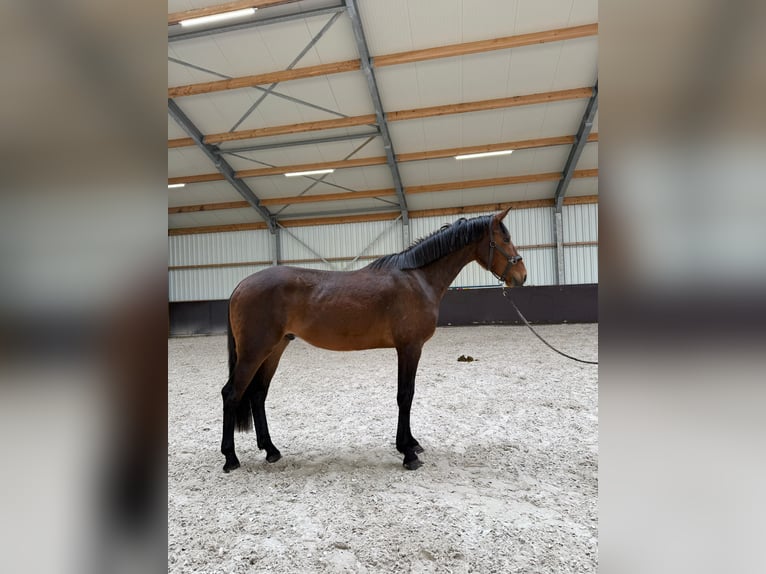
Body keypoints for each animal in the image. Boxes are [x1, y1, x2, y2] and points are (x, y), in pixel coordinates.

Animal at [220, 207, 527, 472]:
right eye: (505, 239)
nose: (521, 276)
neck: (418, 278)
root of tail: (241, 285)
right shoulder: (409, 347)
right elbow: (405, 395)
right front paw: (408, 453)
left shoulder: (408, 348)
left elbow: (407, 394)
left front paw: (411, 443)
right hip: (254, 351)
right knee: (232, 393)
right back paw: (230, 458)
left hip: (275, 348)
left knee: (258, 394)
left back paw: (271, 450)